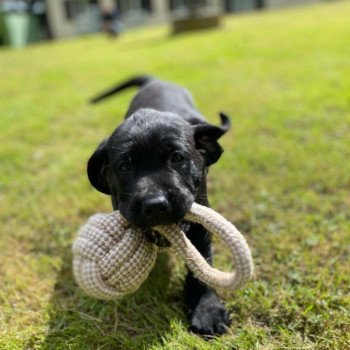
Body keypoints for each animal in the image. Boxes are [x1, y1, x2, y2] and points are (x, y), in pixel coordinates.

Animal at [87, 76, 231, 336]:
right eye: (125, 166)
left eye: (177, 158)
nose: (154, 205)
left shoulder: (201, 227)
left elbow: (202, 266)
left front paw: (206, 310)